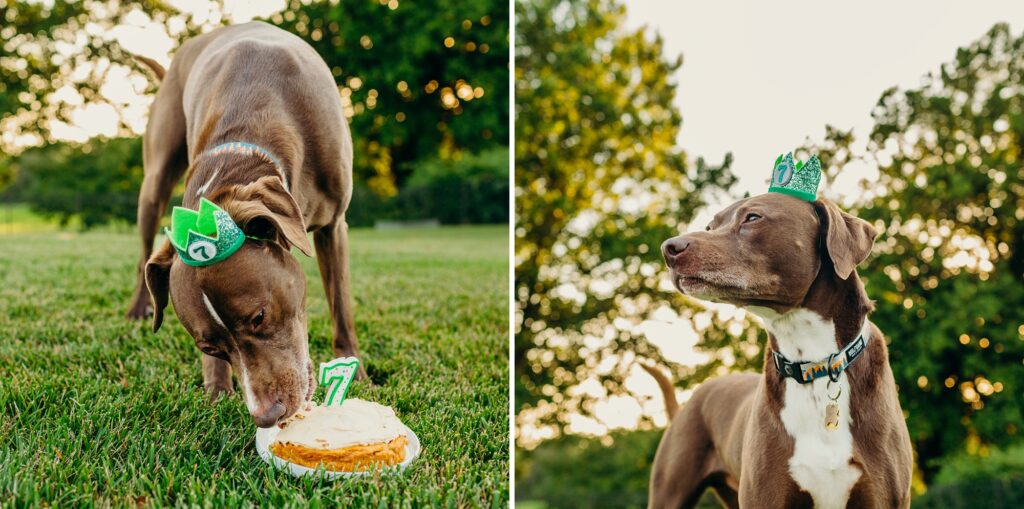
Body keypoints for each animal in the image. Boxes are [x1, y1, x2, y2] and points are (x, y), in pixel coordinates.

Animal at [126, 22, 362, 428]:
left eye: (258, 317)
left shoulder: (334, 226)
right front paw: (217, 391)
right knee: (145, 246)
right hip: (155, 179)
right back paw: (138, 308)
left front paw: (354, 368)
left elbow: (341, 304)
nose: (267, 416)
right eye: (209, 346)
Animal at [647, 183, 913, 507]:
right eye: (711, 226)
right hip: (670, 491)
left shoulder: (883, 496)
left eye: (752, 217)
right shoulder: (765, 495)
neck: (813, 362)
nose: (669, 248)